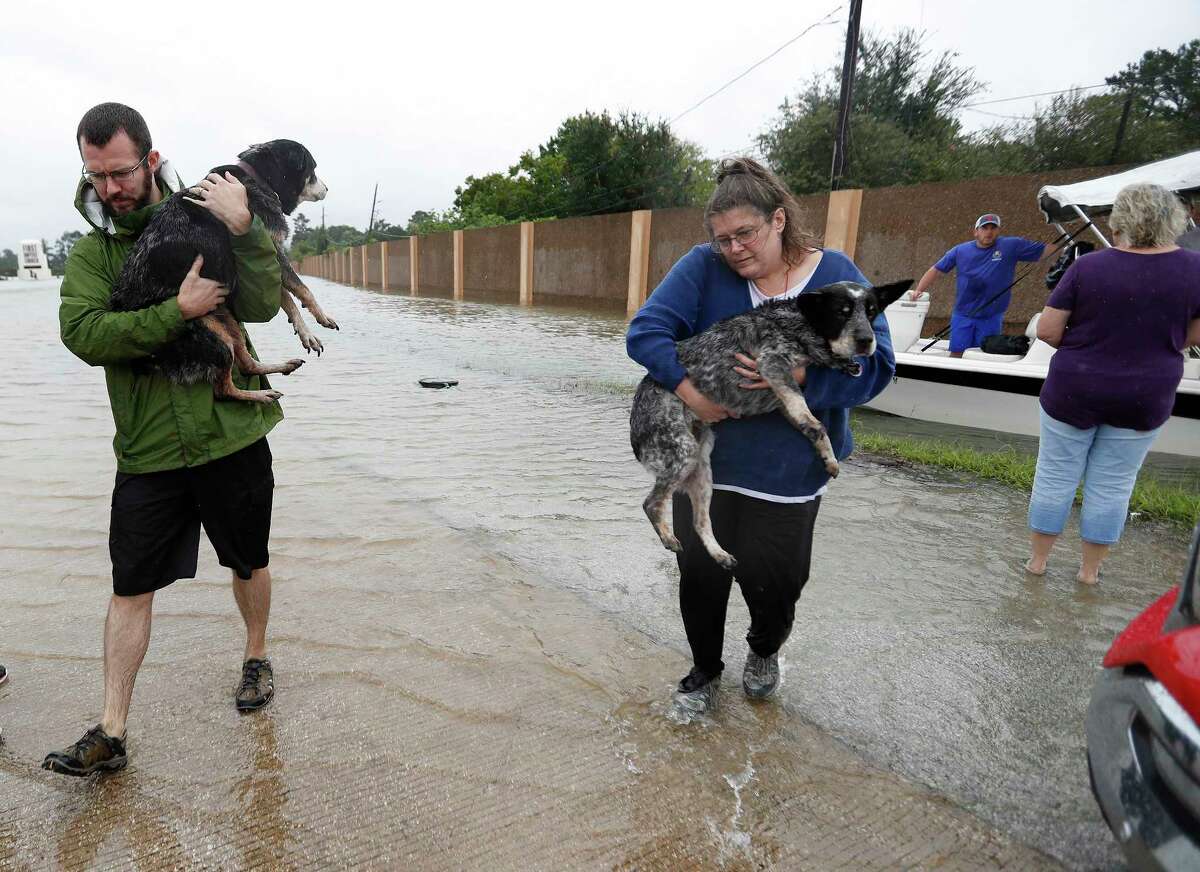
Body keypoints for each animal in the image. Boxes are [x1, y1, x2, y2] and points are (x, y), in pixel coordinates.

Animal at [110, 139, 333, 405]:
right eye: (312, 169)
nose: (327, 189)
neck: (258, 177)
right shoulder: (276, 252)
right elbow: (302, 289)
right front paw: (321, 319)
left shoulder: (267, 258)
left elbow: (286, 298)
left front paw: (304, 331)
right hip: (215, 335)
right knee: (223, 389)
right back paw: (261, 394)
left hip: (228, 322)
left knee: (247, 365)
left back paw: (281, 367)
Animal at [633, 278, 902, 566]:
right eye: (842, 312)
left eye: (872, 312)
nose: (866, 340)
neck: (800, 323)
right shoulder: (773, 364)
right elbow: (815, 423)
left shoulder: (783, 398)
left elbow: (813, 428)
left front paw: (828, 457)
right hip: (684, 453)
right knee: (651, 503)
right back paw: (668, 537)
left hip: (701, 468)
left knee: (700, 521)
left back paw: (719, 553)